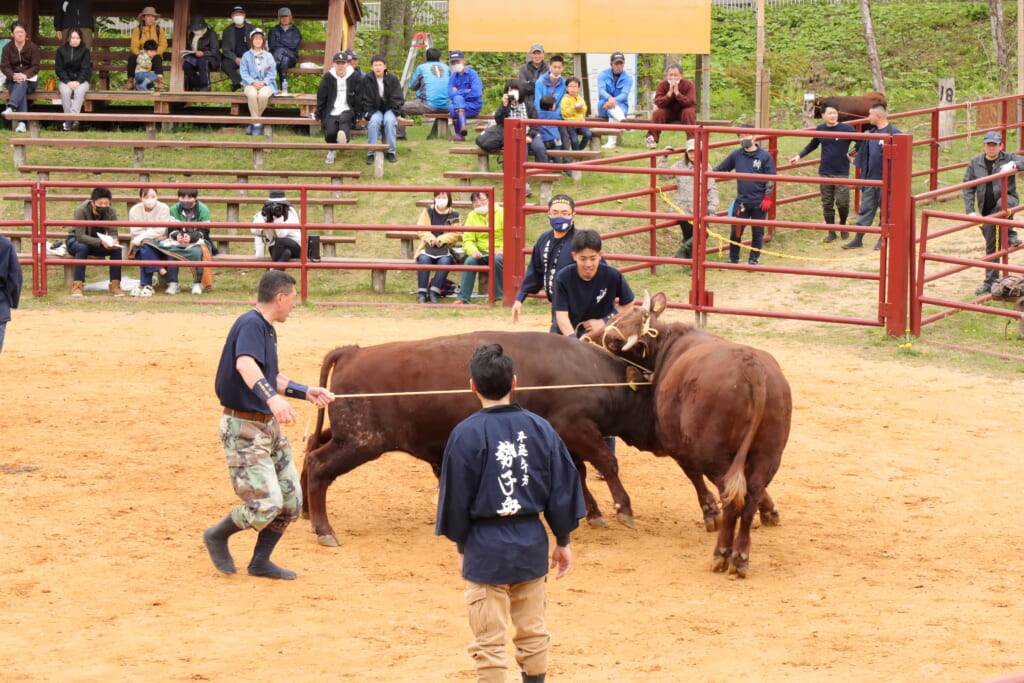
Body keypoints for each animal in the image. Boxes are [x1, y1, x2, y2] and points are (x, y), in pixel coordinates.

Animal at [299, 327, 663, 548]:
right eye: (650, 396)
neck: (592, 374)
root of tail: (352, 352)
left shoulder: (568, 438)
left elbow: (581, 473)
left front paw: (594, 513)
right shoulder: (577, 428)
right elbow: (606, 461)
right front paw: (623, 510)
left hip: (346, 435)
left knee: (311, 448)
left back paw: (306, 514)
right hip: (361, 441)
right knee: (318, 464)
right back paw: (324, 530)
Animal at [585, 290, 790, 581]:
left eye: (615, 343)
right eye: (618, 316)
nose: (587, 336)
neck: (668, 346)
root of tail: (752, 367)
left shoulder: (676, 442)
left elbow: (692, 474)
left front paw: (709, 512)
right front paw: (770, 511)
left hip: (714, 454)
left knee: (731, 500)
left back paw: (723, 553)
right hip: (769, 454)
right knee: (750, 496)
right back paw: (740, 556)